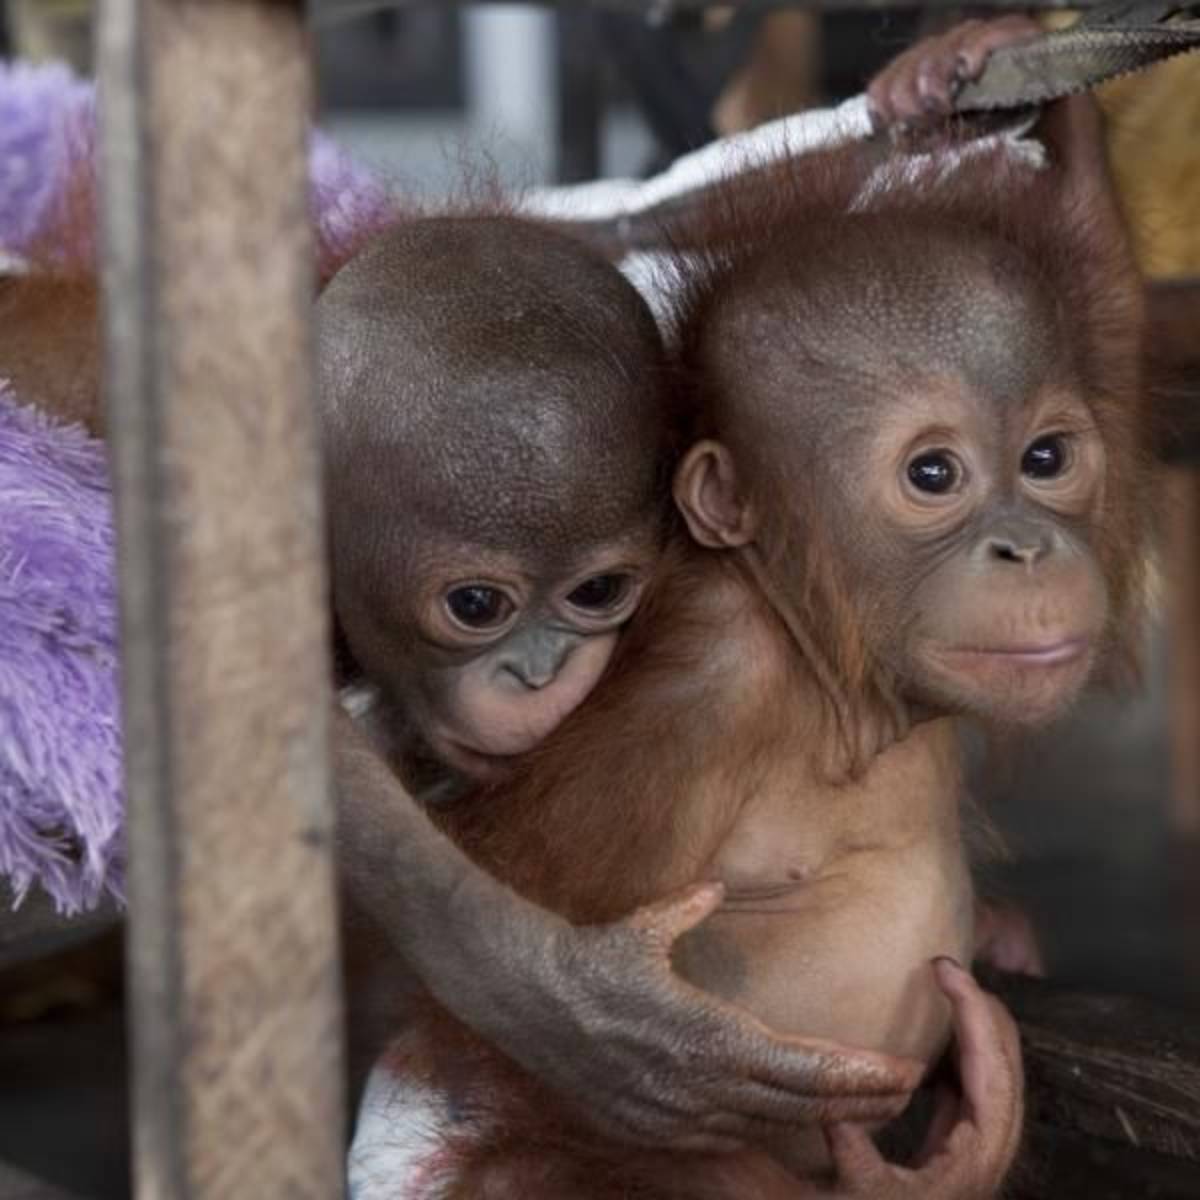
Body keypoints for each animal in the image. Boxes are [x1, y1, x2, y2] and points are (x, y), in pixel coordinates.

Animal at [347, 94, 1147, 1199]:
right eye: (933, 473)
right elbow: (498, 1025)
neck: (830, 677)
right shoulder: (699, 700)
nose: (1027, 547)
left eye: (1047, 458)